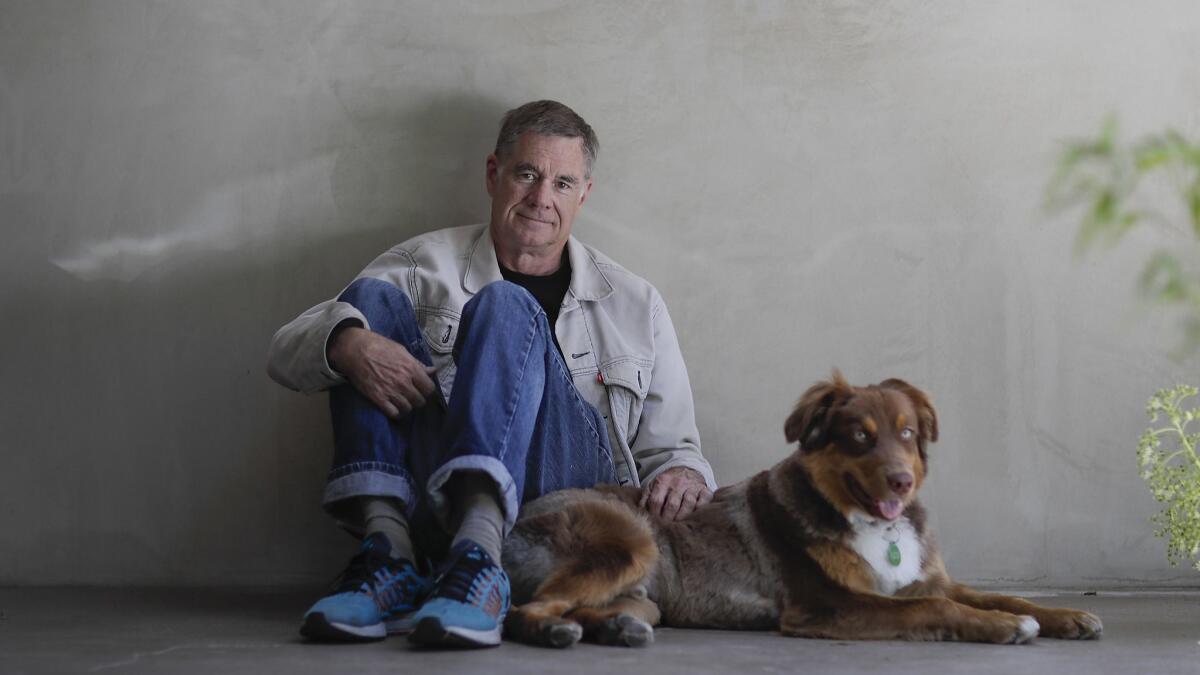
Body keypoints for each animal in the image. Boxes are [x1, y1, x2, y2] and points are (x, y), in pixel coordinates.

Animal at [499, 369, 1104, 643]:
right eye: (859, 438)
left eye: (907, 432)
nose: (902, 481)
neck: (870, 525)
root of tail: (518, 516)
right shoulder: (826, 605)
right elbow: (936, 609)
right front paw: (1006, 626)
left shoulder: (920, 578)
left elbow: (995, 593)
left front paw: (1064, 615)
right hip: (630, 541)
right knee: (523, 611)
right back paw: (556, 633)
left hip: (644, 595)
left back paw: (617, 629)